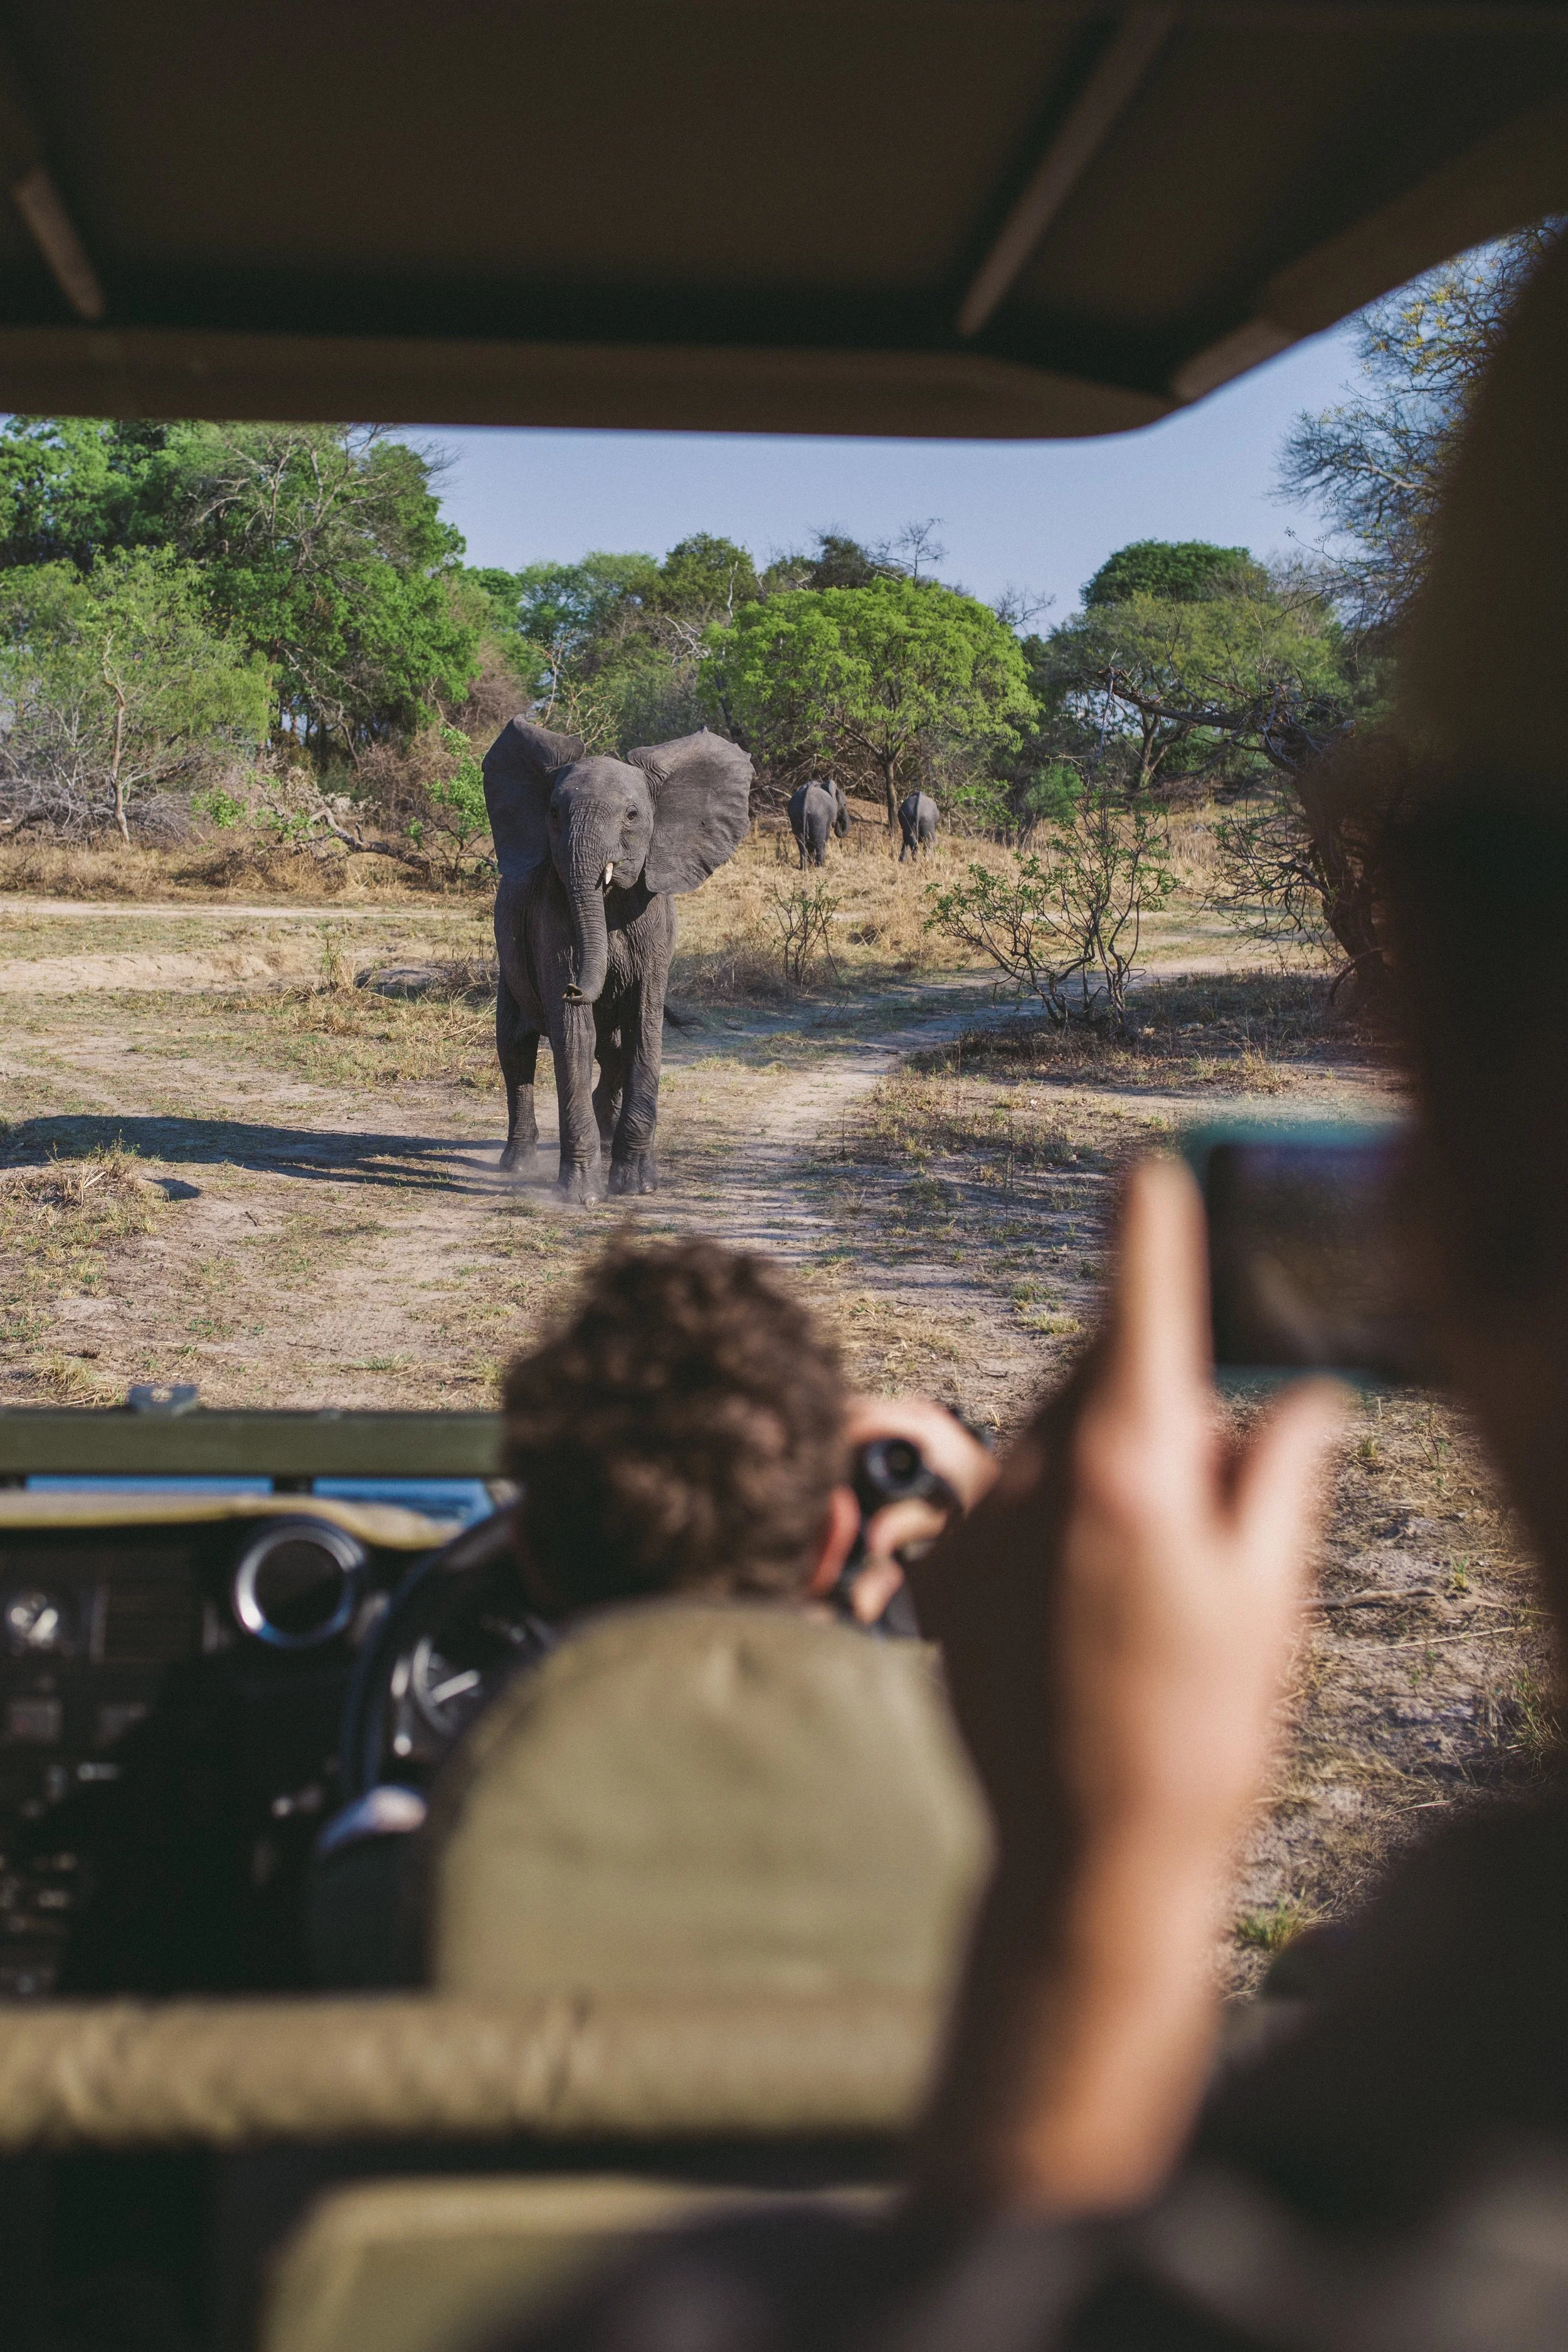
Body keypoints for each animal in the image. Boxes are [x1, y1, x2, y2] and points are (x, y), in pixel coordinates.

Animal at [483, 717, 753, 1201]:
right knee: (515, 1050)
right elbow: (574, 1035)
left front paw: (636, 1187)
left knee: (612, 1048)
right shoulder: (551, 913)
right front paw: (581, 1197)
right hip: (508, 964)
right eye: (554, 813)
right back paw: (517, 1166)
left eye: (632, 815)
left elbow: (644, 1027)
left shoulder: (655, 917)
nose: (575, 989)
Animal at [787, 778, 848, 866]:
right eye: (845, 804)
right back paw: (820, 865)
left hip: (796, 815)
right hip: (819, 817)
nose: (837, 822)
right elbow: (826, 835)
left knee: (801, 841)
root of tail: (805, 806)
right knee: (819, 841)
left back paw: (805, 867)